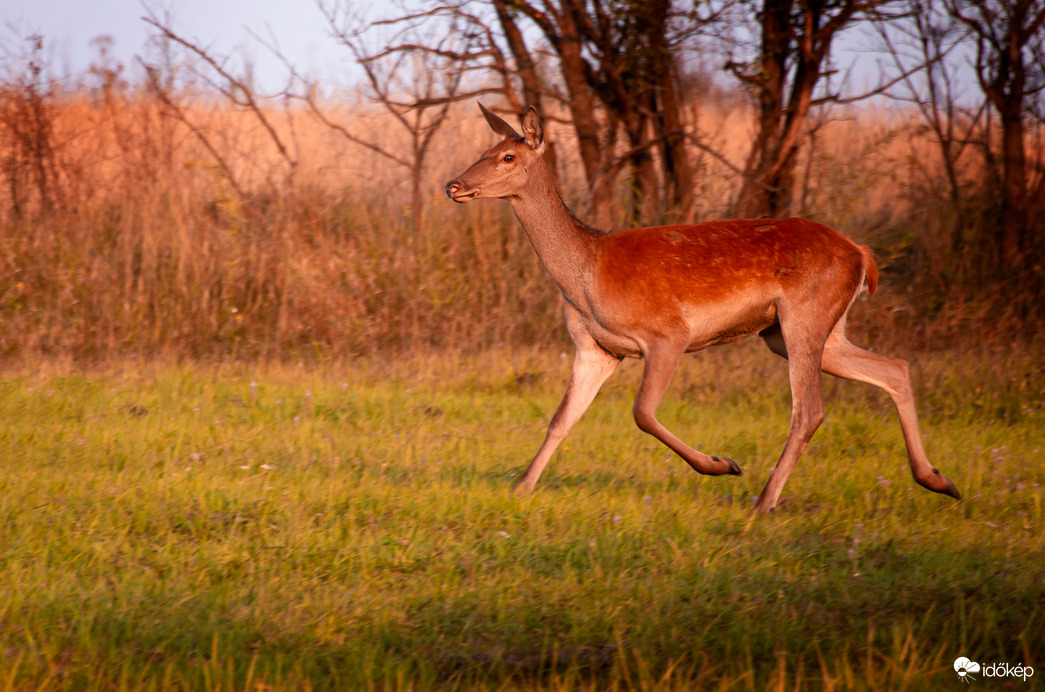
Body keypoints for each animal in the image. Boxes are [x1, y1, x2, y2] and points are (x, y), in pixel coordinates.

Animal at [445, 104, 957, 514]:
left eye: (508, 156)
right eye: (488, 148)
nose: (454, 184)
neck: (587, 273)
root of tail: (862, 254)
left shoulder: (667, 332)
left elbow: (642, 413)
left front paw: (721, 464)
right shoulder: (595, 349)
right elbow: (560, 419)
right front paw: (521, 487)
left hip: (805, 314)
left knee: (809, 410)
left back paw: (765, 500)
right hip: (802, 331)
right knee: (895, 368)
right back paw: (938, 479)